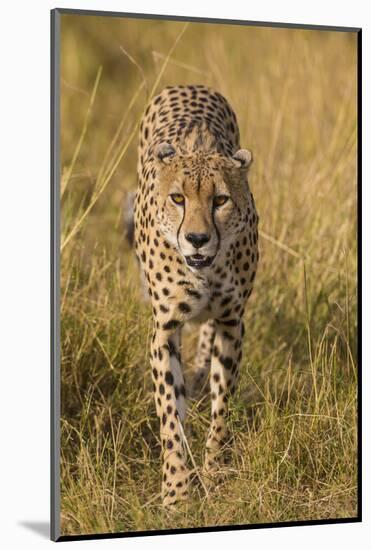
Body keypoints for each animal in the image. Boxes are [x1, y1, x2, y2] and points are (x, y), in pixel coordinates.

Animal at [134, 85, 258, 508]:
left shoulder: (232, 321)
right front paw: (176, 491)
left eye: (220, 200)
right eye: (178, 199)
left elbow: (222, 407)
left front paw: (215, 473)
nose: (198, 239)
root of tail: (189, 85)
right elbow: (171, 414)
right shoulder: (164, 328)